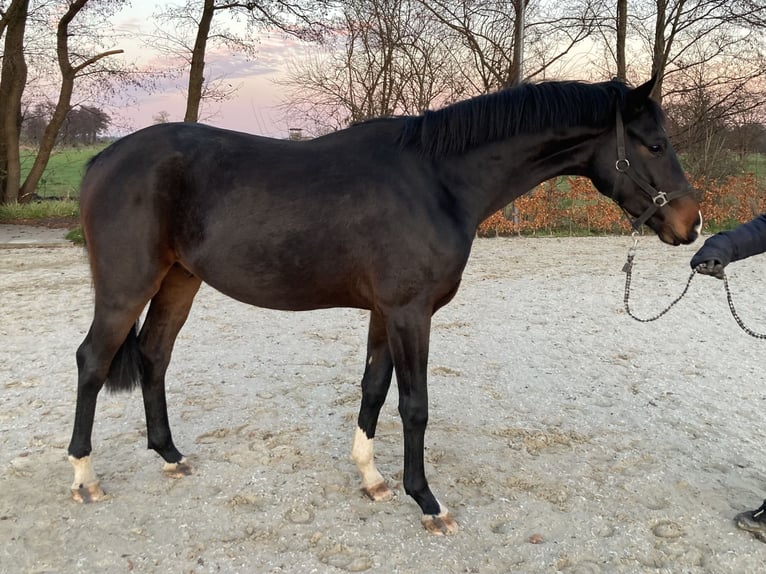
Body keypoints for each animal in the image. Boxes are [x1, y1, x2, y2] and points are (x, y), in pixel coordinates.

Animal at [70, 75, 704, 536]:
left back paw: (169, 455)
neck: (437, 181)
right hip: (127, 287)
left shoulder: (383, 313)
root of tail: (104, 160)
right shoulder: (409, 312)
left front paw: (372, 478)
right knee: (93, 362)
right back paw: (84, 479)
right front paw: (426, 501)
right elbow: (415, 405)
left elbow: (373, 389)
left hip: (179, 280)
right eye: (654, 144)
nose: (691, 223)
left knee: (154, 355)